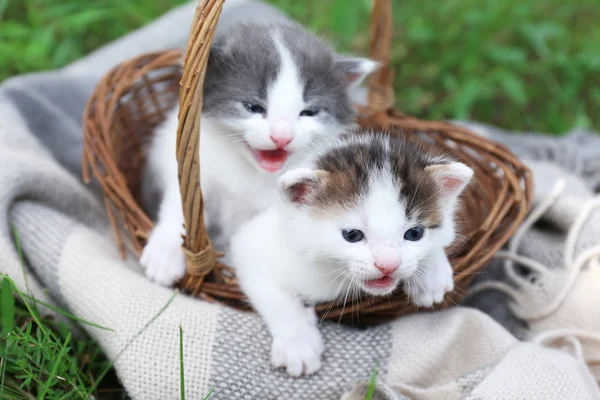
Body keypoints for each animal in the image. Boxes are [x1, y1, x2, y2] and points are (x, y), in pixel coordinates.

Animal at [141, 21, 378, 286]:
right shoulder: (198, 166)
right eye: (253, 107)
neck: (251, 172)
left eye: (308, 112)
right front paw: (164, 253)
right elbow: (181, 205)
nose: (282, 137)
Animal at [230, 130, 474, 376]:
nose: (388, 265)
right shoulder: (251, 245)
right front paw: (298, 345)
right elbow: (277, 297)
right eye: (352, 235)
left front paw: (431, 276)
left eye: (415, 233)